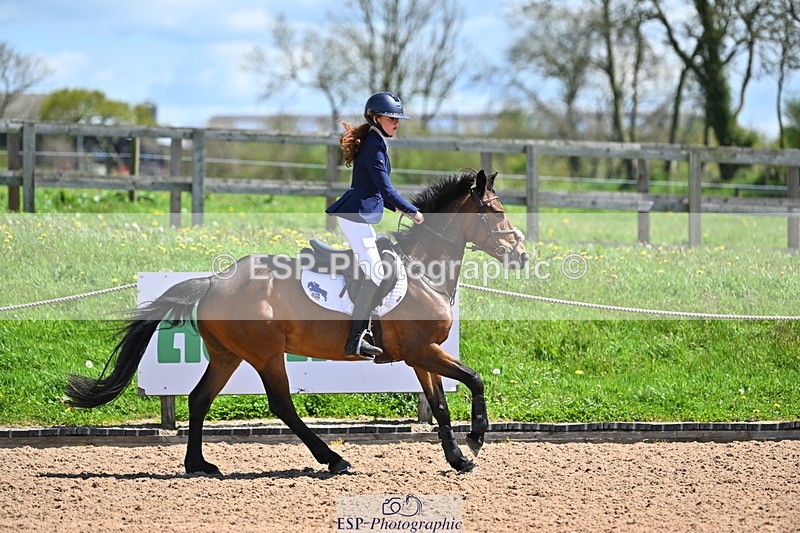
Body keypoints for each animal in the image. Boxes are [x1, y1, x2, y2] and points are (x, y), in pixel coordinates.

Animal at [65, 169, 529, 475]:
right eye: (497, 212)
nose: (522, 256)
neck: (422, 270)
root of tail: (215, 281)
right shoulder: (422, 351)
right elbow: (474, 380)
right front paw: (477, 437)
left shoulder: (420, 356)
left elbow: (440, 405)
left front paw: (458, 458)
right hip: (266, 353)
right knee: (282, 404)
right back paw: (333, 459)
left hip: (228, 354)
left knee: (199, 398)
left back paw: (199, 465)